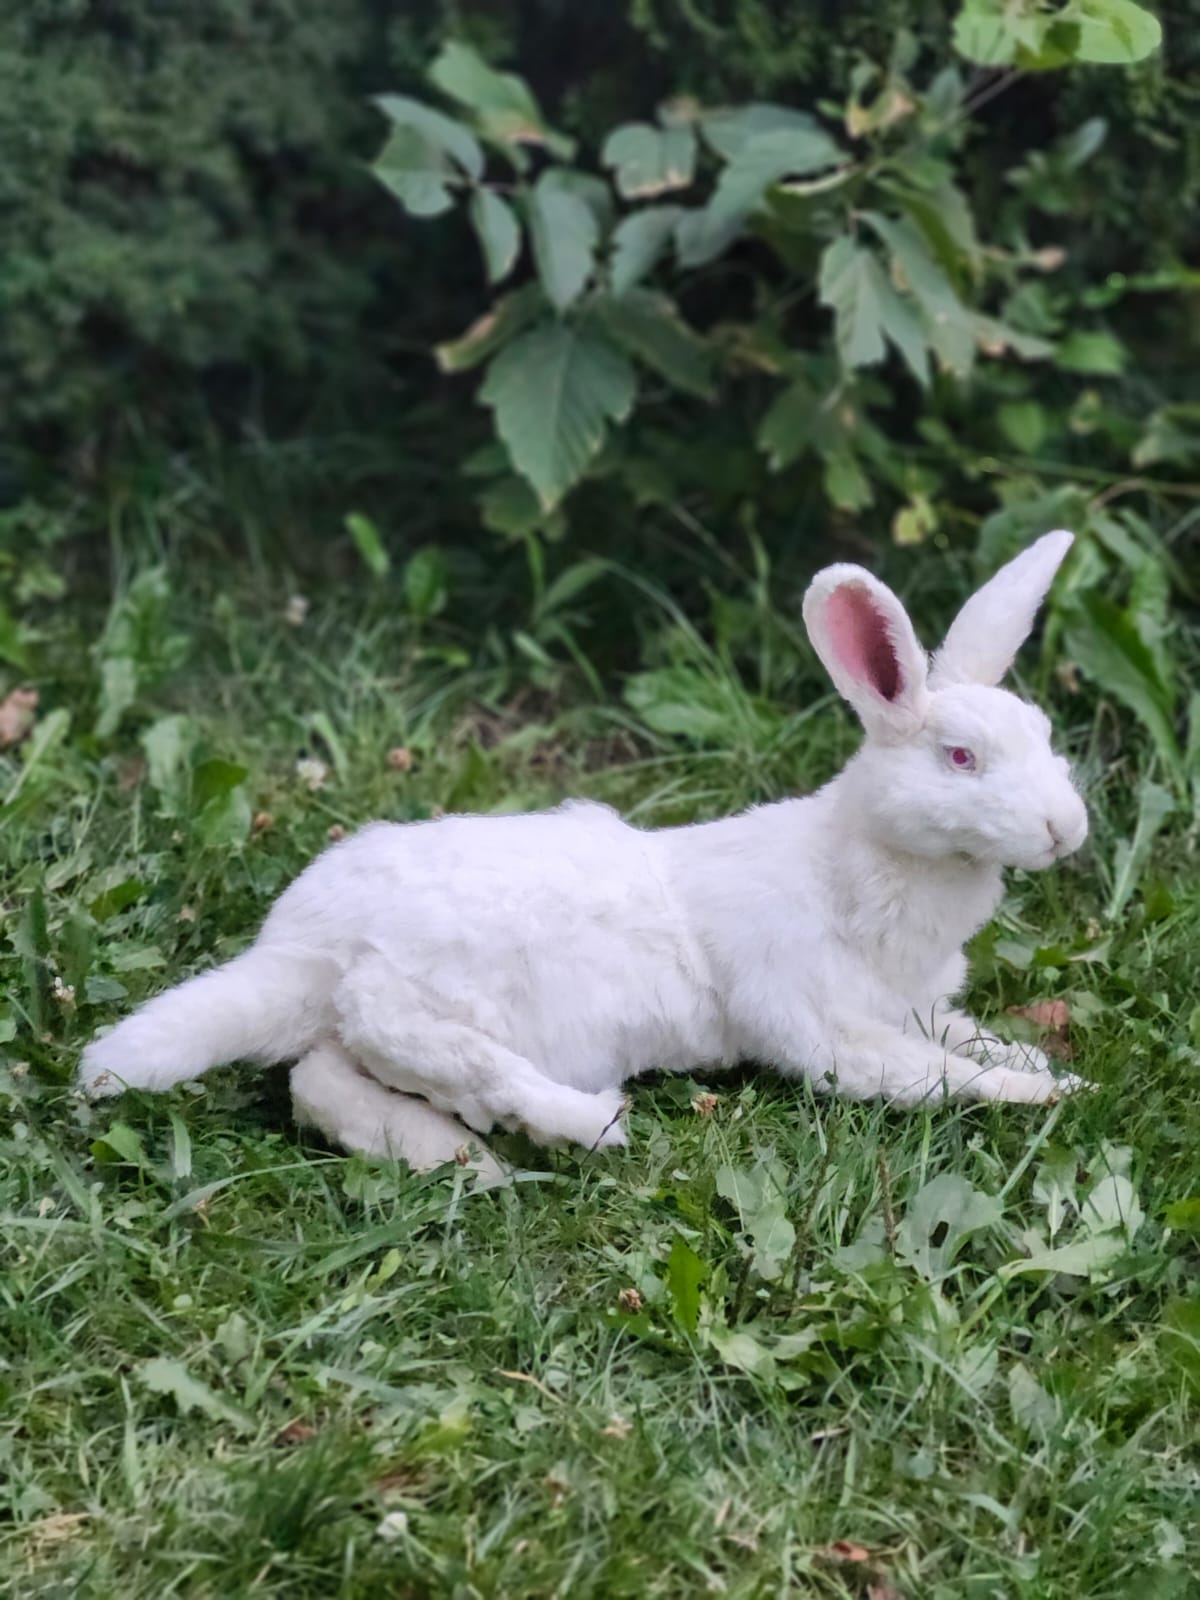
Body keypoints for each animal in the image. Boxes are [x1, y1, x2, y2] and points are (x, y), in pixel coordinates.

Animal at [79, 529, 1089, 1177]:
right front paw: (1040, 1090)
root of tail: (298, 951)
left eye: (1046, 735)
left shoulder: (919, 1005)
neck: (856, 865)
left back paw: (454, 1158)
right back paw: (578, 1126)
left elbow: (962, 1039)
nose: (1066, 831)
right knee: (414, 1043)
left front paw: (1038, 1061)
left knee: (320, 1081)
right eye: (960, 758)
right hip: (427, 995)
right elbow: (929, 1077)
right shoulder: (821, 1027)